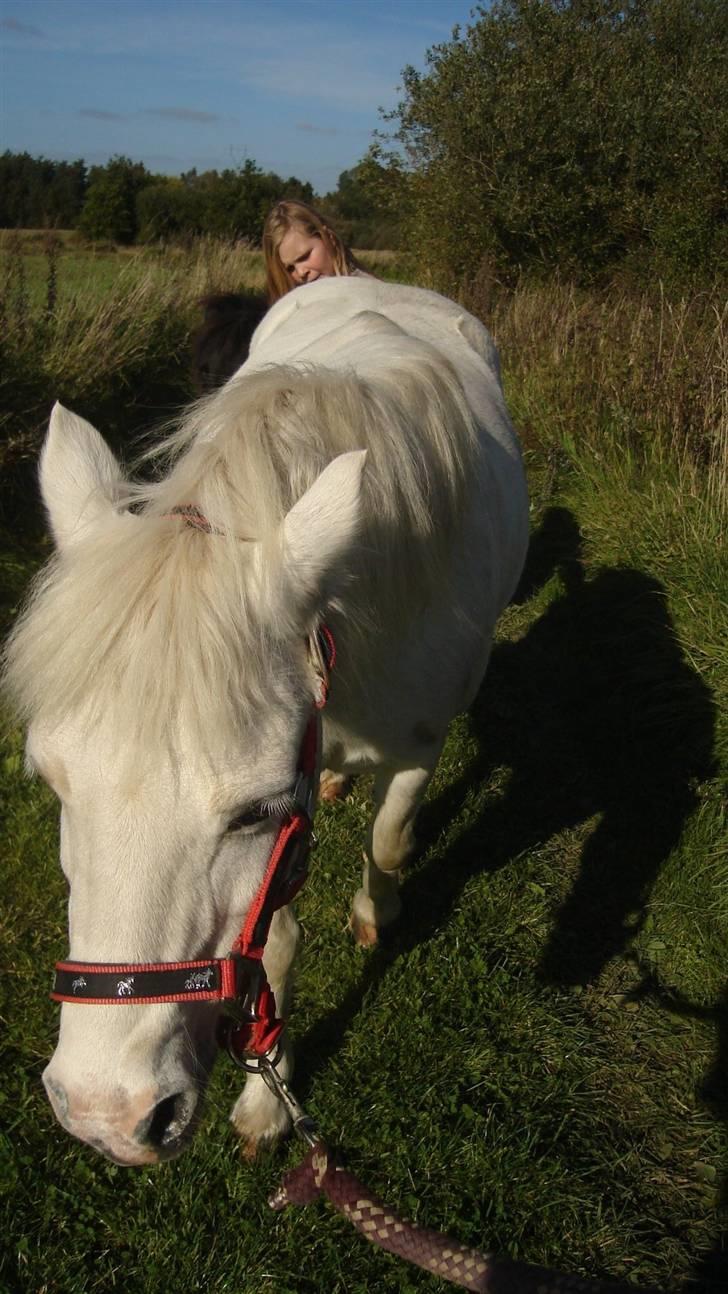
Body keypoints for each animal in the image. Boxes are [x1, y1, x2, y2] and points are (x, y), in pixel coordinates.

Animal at [1, 278, 530, 1169]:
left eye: (255, 810)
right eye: (53, 783)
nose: (110, 1115)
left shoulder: (409, 748)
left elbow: (390, 840)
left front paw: (376, 913)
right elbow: (273, 947)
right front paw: (265, 1098)